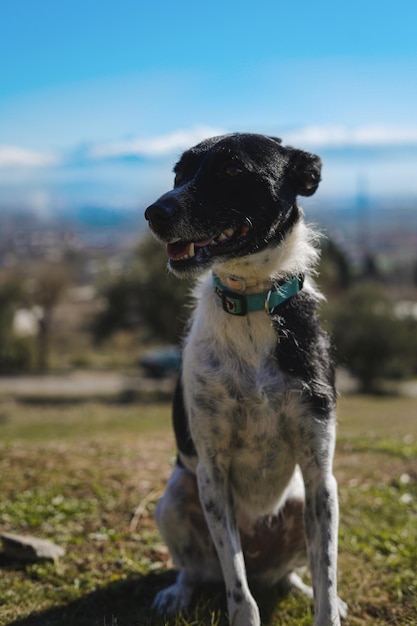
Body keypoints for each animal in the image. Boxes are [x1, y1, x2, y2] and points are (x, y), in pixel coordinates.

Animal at [145, 133, 346, 624]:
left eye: (233, 170)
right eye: (178, 173)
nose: (154, 213)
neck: (254, 301)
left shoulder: (321, 476)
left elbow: (327, 574)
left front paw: (329, 605)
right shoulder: (212, 474)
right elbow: (238, 589)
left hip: (302, 505)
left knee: (296, 573)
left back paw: (298, 587)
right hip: (176, 497)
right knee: (199, 569)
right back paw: (178, 593)